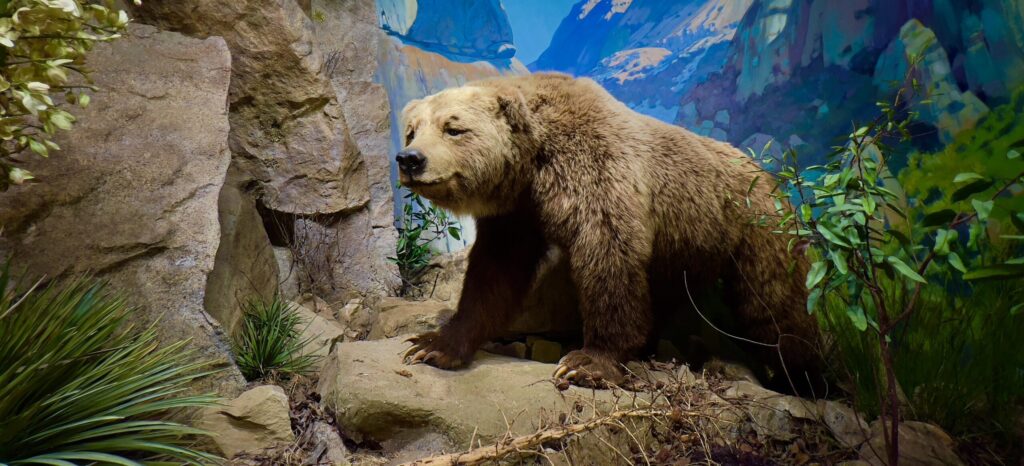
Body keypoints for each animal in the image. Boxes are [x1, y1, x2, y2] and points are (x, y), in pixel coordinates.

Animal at [396, 73, 822, 393]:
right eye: (412, 130)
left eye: (454, 128)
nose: (410, 159)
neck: (533, 162)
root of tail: (772, 175)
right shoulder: (517, 213)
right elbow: (493, 275)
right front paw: (431, 345)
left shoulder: (595, 174)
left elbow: (608, 257)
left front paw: (585, 362)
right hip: (683, 248)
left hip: (754, 229)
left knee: (775, 307)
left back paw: (805, 379)